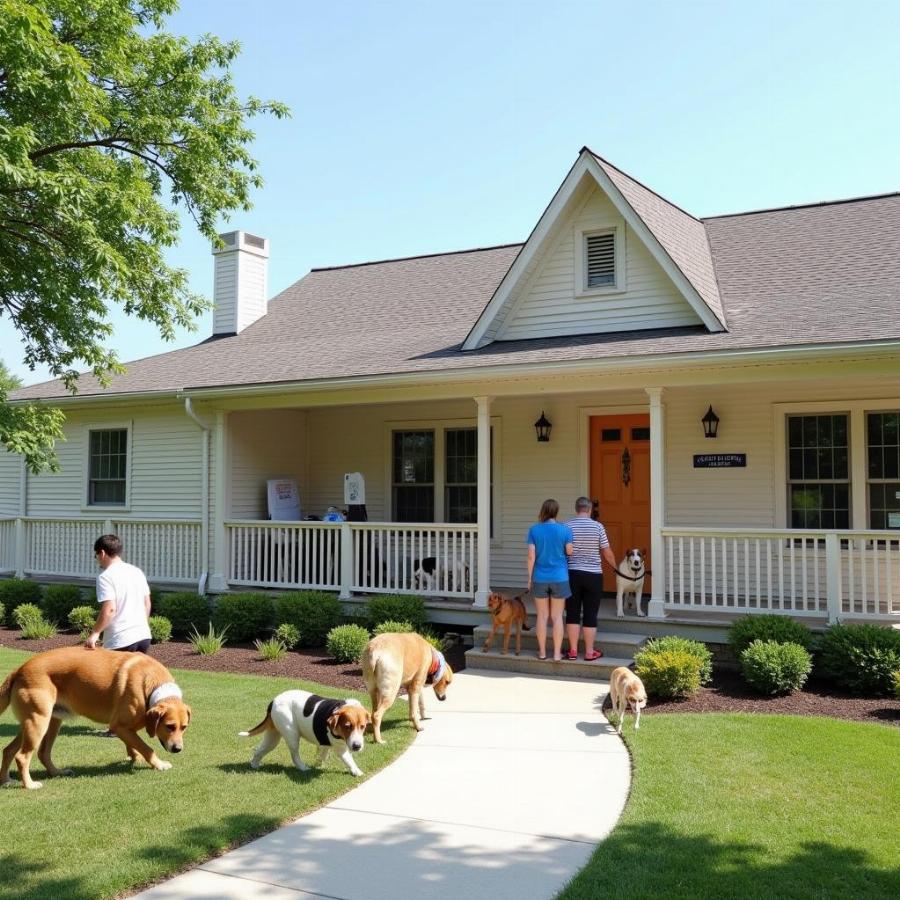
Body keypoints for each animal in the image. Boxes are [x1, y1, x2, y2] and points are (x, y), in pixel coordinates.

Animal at [0, 648, 192, 788]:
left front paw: (133, 757)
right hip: (38, 722)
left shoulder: (128, 729)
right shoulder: (119, 726)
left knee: (23, 751)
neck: (151, 684)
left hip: (47, 722)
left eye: (184, 727)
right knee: (22, 756)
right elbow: (146, 748)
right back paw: (29, 785)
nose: (178, 749)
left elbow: (134, 745)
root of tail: (19, 670)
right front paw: (158, 764)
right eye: (169, 726)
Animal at [237, 692, 370, 776]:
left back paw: (254, 765)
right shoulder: (340, 749)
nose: (357, 746)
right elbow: (349, 761)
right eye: (347, 726)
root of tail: (274, 701)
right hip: (292, 735)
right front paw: (356, 771)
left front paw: (319, 763)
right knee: (295, 756)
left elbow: (322, 754)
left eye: (362, 726)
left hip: (272, 738)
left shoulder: (326, 744)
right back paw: (303, 767)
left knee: (259, 751)